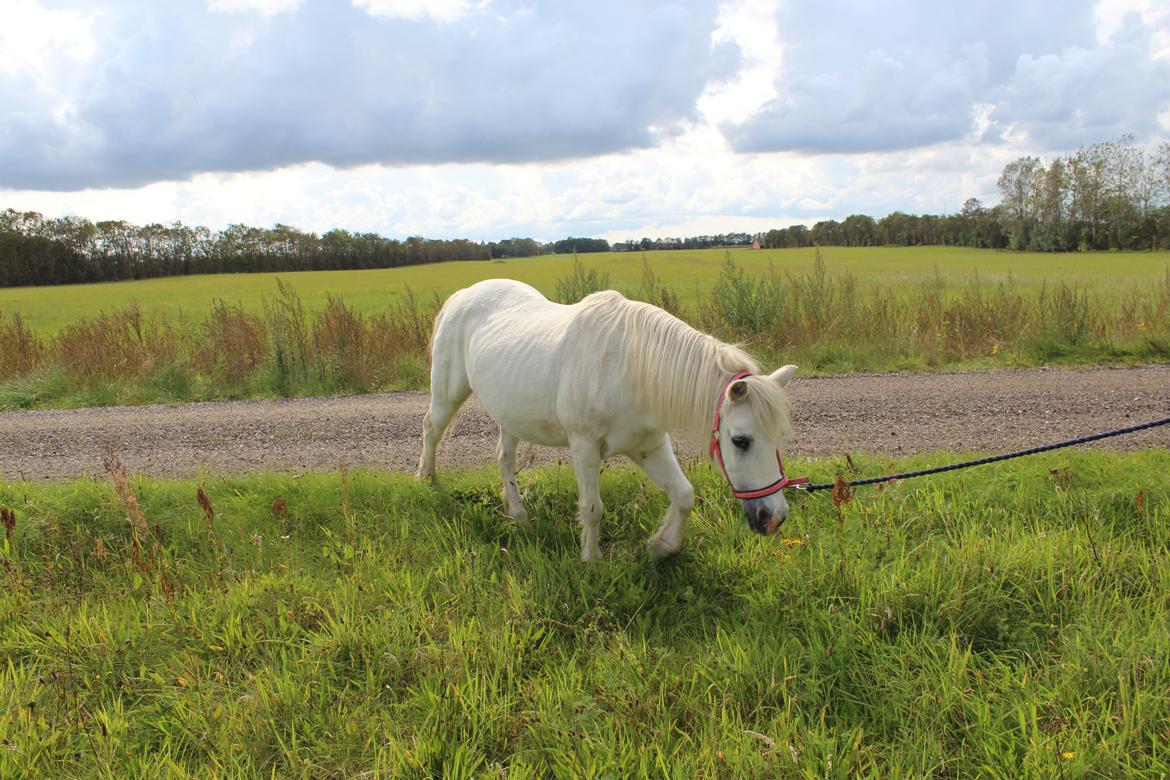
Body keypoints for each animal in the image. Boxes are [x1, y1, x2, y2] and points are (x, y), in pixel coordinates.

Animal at [416, 280, 800, 561]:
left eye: (779, 437)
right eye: (740, 440)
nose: (774, 518)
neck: (630, 367)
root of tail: (465, 294)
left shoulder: (649, 446)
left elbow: (684, 495)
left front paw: (661, 546)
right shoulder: (584, 447)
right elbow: (592, 508)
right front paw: (591, 560)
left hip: (510, 411)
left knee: (505, 458)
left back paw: (517, 513)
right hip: (448, 393)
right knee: (431, 429)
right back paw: (428, 480)